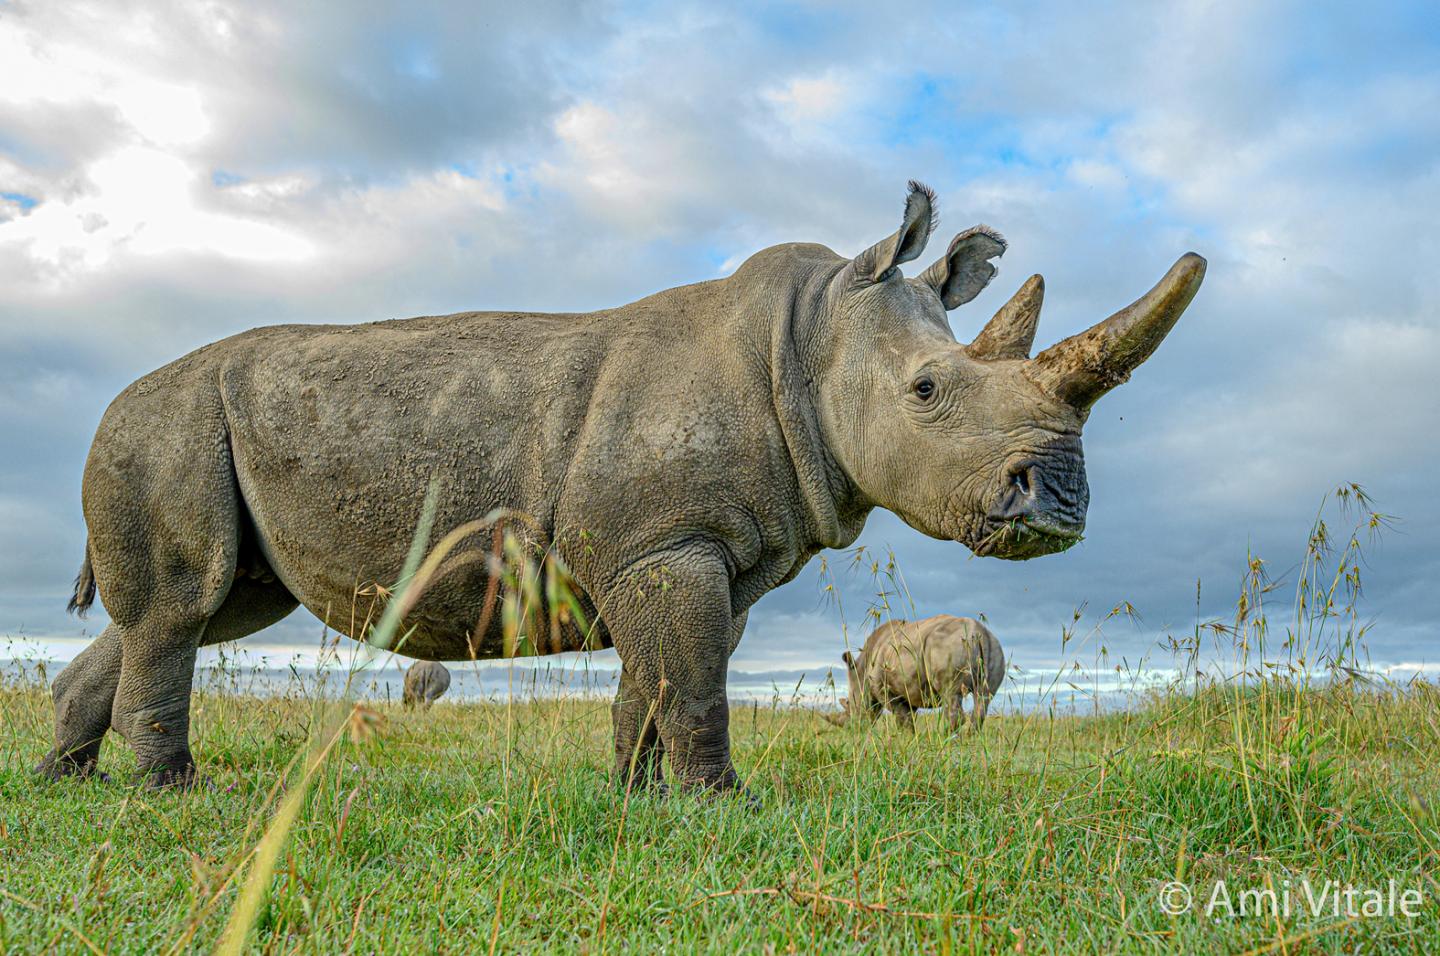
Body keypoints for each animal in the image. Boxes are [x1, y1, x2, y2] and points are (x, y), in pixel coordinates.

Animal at [840, 616, 1008, 734]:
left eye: (849, 704)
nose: (852, 728)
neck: (861, 672)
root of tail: (978, 631)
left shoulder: (884, 690)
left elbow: (902, 718)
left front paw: (906, 741)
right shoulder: (907, 690)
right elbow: (907, 718)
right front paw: (909, 739)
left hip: (949, 648)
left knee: (951, 694)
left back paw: (945, 740)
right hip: (995, 648)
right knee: (984, 697)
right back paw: (968, 740)